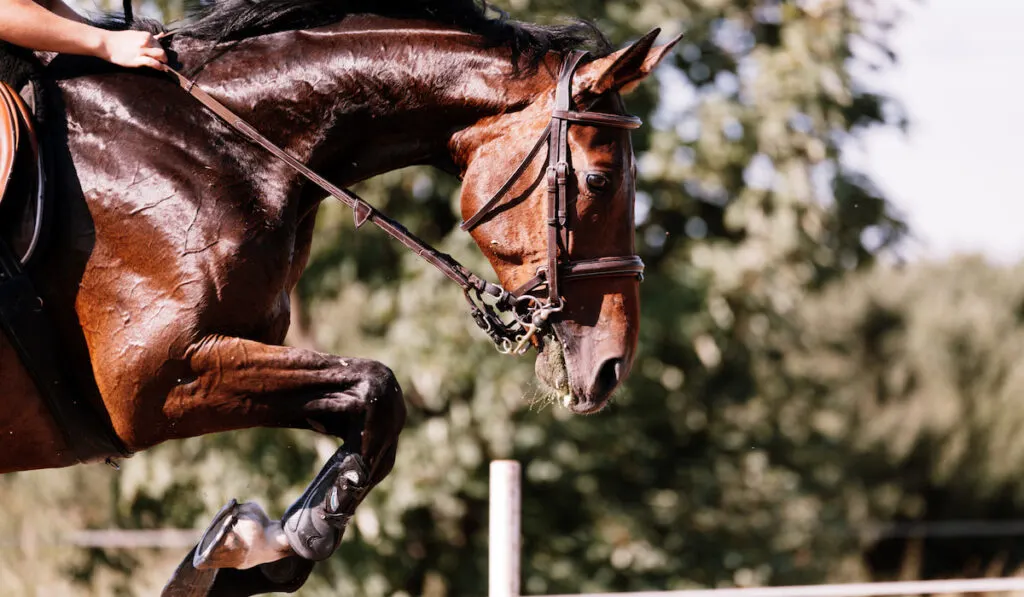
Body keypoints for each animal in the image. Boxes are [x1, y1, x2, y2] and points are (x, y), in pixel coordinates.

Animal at [2, 1, 679, 593]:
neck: (214, 138)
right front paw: (279, 541)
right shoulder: (151, 380)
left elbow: (370, 410)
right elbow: (380, 388)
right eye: (599, 181)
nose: (611, 367)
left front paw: (258, 547)